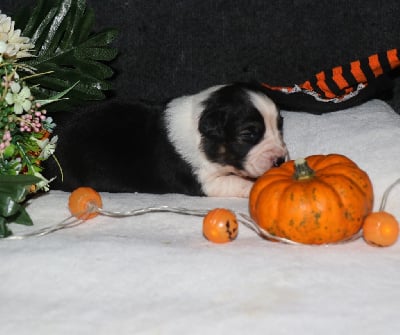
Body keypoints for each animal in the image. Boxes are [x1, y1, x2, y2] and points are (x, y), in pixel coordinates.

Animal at [44, 82, 288, 197]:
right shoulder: (204, 181)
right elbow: (237, 182)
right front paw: (254, 187)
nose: (280, 160)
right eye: (248, 134)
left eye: (280, 127)